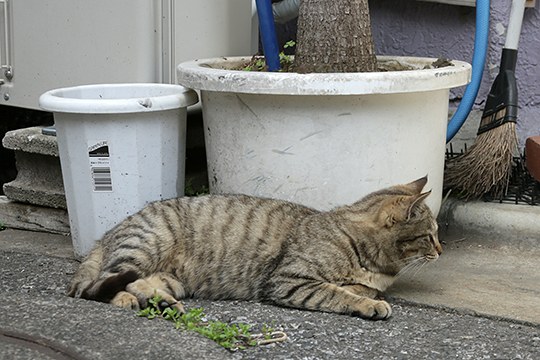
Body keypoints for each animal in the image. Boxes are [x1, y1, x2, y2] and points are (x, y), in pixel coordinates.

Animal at [68, 176, 438, 320]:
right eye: (429, 235)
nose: (441, 250)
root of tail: (108, 232)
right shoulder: (288, 281)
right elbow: (337, 294)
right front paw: (368, 304)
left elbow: (358, 288)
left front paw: (367, 293)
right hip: (145, 247)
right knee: (103, 283)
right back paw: (125, 299)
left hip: (171, 278)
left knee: (137, 283)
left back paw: (165, 304)